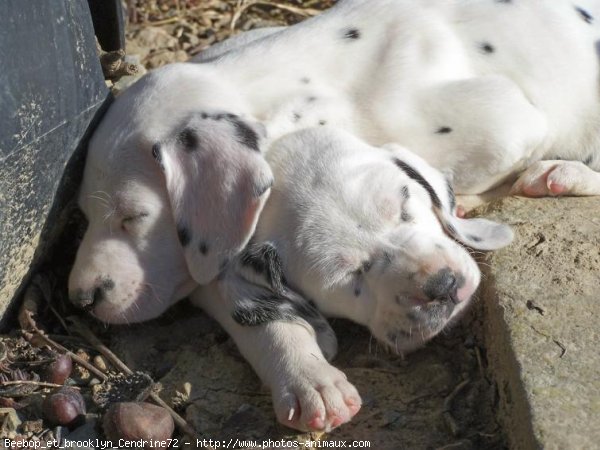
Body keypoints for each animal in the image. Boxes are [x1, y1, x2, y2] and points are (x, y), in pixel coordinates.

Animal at [68, 0, 600, 432]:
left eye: (132, 217)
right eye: (85, 214)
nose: (81, 298)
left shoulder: (508, 125)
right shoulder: (216, 270)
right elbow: (250, 308)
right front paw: (305, 375)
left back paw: (562, 172)